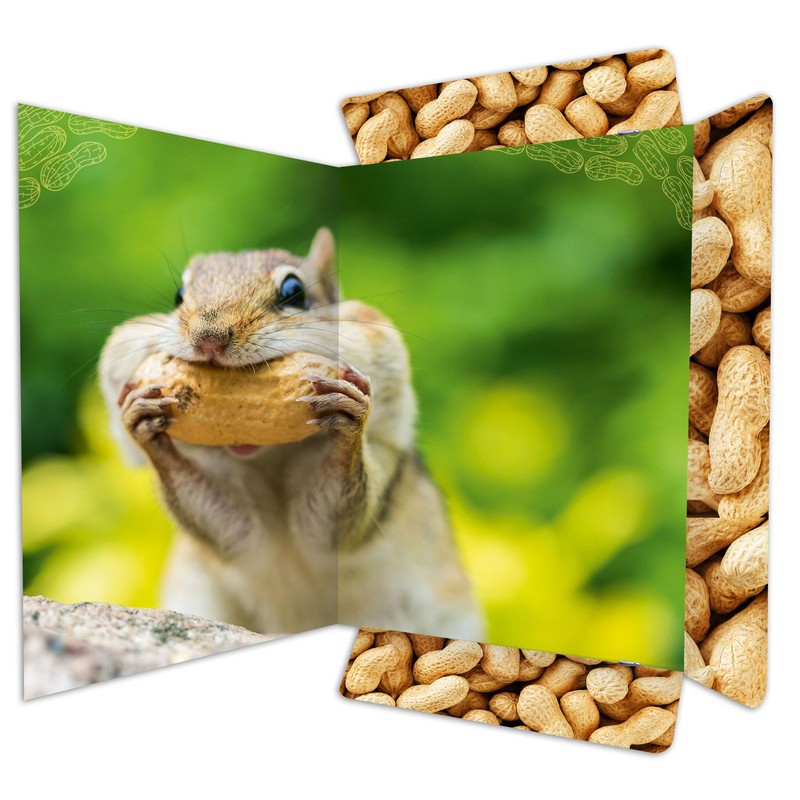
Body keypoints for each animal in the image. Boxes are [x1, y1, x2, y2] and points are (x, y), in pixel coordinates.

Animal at [99, 227, 484, 640]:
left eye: (294, 292)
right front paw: (143, 422)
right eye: (178, 295)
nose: (208, 338)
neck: (270, 457)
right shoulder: (239, 533)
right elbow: (229, 526)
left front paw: (348, 418)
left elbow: (333, 522)